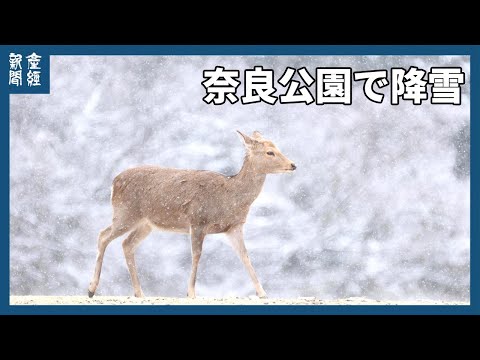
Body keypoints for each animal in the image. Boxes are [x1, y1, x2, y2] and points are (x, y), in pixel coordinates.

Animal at [87, 130, 294, 298]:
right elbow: (196, 254)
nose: (293, 165)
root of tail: (114, 182)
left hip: (146, 223)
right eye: (270, 152)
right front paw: (191, 293)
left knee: (127, 244)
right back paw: (91, 289)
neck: (230, 197)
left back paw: (139, 293)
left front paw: (263, 293)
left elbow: (245, 255)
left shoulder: (234, 227)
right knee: (103, 235)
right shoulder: (197, 220)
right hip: (126, 213)